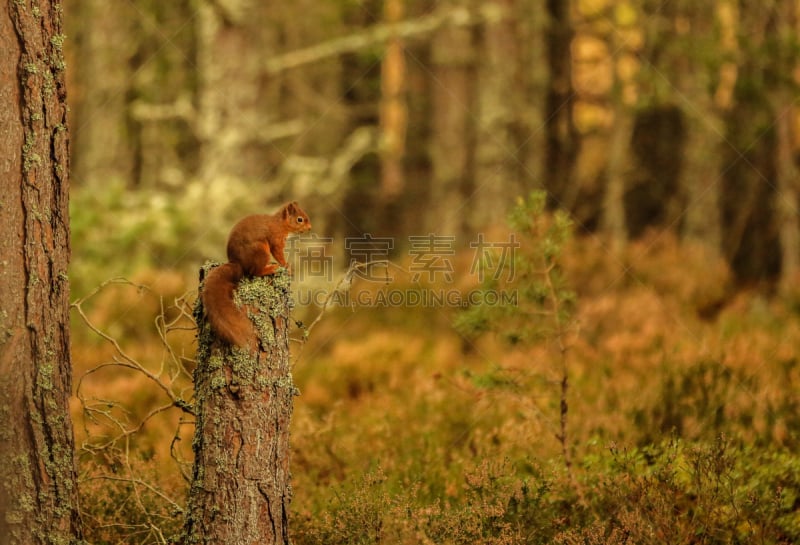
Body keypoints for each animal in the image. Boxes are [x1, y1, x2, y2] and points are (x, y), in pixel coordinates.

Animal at [202, 201, 310, 348]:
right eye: (300, 219)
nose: (310, 228)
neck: (280, 224)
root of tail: (238, 264)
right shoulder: (276, 240)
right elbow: (278, 254)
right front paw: (286, 266)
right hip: (260, 252)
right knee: (255, 272)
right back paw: (271, 268)